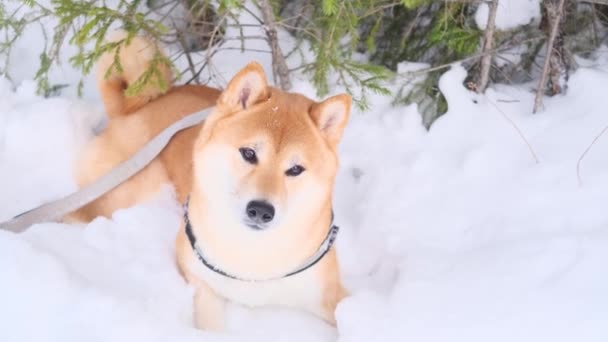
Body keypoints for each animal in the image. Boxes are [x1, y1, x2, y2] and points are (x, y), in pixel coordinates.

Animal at [67, 33, 350, 330]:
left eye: (295, 169)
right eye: (249, 153)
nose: (261, 211)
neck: (252, 258)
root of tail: (132, 108)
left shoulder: (329, 293)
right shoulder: (200, 280)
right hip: (132, 191)